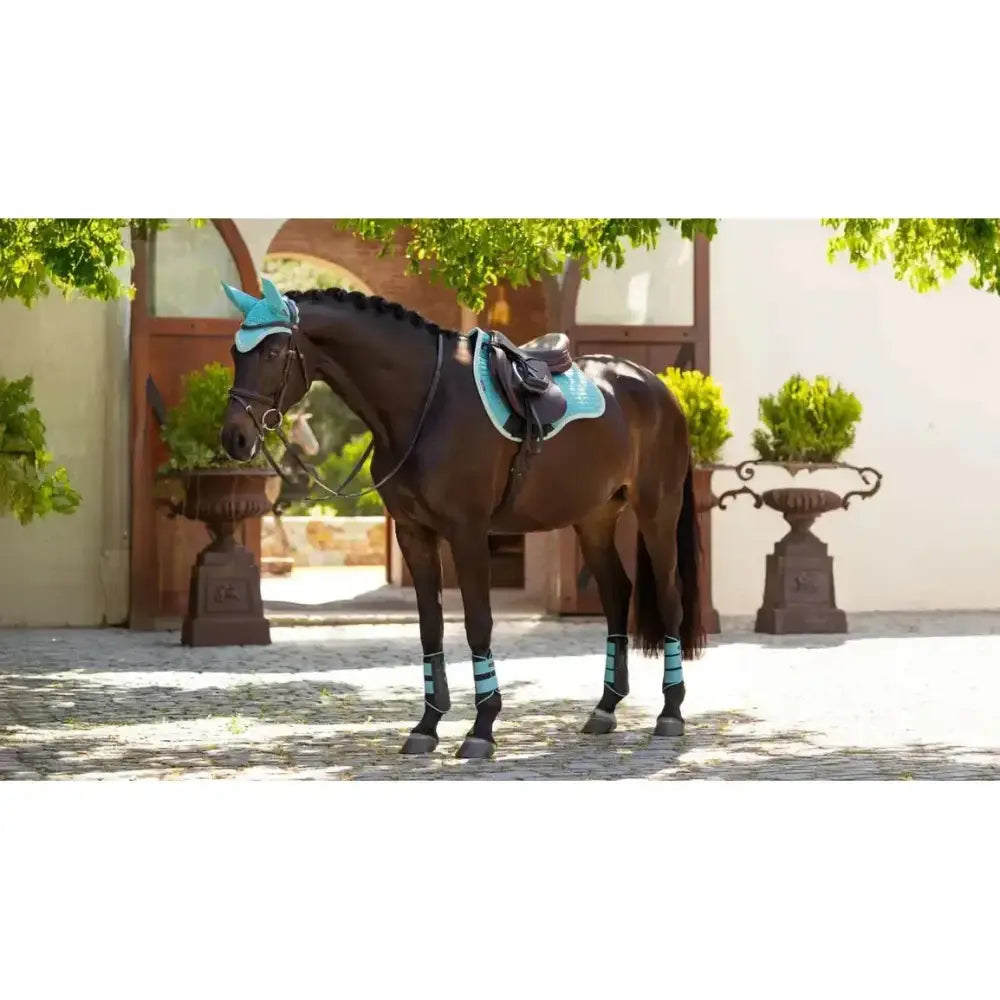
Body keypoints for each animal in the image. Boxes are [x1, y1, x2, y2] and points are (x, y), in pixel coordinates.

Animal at [219, 277, 706, 760]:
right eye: (235, 352)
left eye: (272, 352)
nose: (234, 438)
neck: (425, 404)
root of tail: (655, 386)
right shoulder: (414, 534)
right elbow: (430, 628)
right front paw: (426, 726)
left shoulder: (467, 533)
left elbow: (477, 622)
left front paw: (482, 728)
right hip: (594, 519)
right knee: (616, 594)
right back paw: (605, 709)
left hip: (657, 511)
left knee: (669, 599)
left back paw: (671, 713)